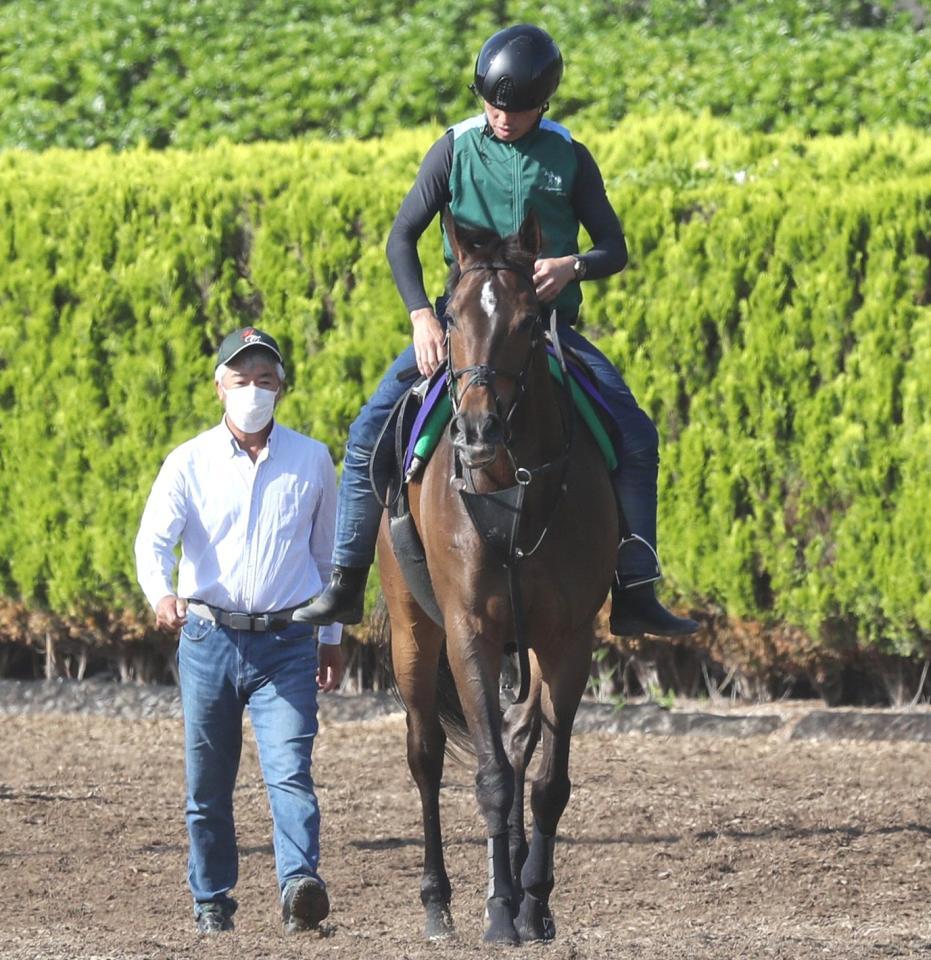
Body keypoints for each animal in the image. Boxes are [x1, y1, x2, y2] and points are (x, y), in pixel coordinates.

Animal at [372, 212, 620, 944]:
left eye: (530, 320)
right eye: (450, 317)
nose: (476, 430)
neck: (511, 489)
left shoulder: (567, 641)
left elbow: (544, 781)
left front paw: (531, 902)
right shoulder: (468, 634)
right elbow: (489, 778)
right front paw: (501, 911)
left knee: (516, 744)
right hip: (413, 634)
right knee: (426, 753)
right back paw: (440, 901)